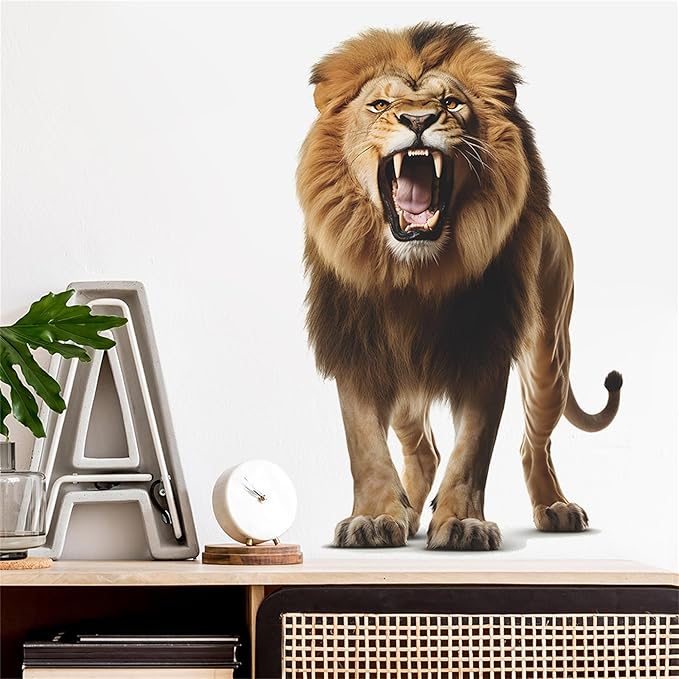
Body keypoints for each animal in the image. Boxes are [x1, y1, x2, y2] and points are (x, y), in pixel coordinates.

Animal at [297, 23, 622, 550]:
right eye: (380, 105)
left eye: (450, 103)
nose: (417, 119)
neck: (415, 274)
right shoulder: (358, 348)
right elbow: (365, 446)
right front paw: (375, 517)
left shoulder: (485, 350)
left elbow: (472, 451)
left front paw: (462, 525)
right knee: (424, 450)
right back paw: (407, 514)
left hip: (549, 359)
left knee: (535, 443)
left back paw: (555, 507)